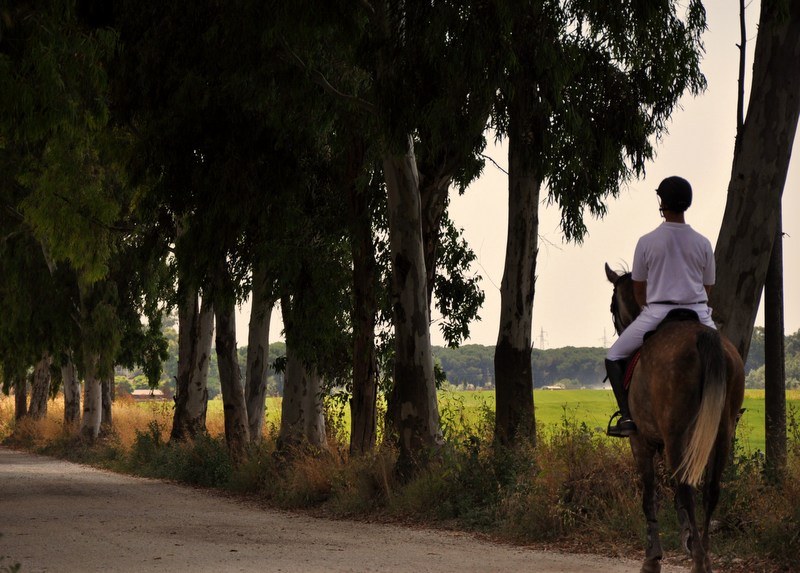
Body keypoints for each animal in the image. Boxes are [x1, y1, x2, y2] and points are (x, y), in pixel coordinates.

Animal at [608, 264, 744, 572]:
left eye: (612, 306)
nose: (619, 330)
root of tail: (702, 338)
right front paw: (687, 538)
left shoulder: (641, 441)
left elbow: (650, 495)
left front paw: (653, 557)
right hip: (720, 433)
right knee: (710, 489)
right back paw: (704, 553)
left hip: (676, 434)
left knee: (686, 487)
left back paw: (699, 560)